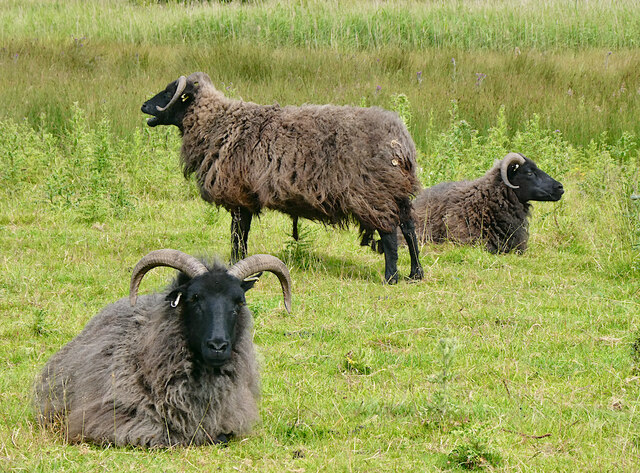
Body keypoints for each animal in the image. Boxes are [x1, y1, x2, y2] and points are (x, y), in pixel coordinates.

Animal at [140, 72, 424, 282]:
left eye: (169, 92)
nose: (143, 105)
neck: (218, 123)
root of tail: (401, 141)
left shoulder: (238, 195)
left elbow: (237, 235)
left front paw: (234, 264)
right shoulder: (245, 198)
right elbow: (242, 234)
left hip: (376, 193)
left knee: (389, 233)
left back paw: (391, 277)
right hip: (398, 191)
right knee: (409, 229)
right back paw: (416, 274)